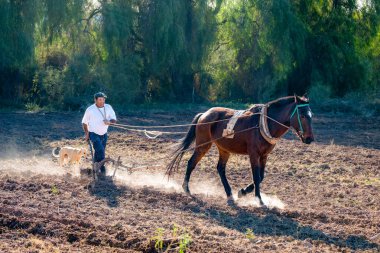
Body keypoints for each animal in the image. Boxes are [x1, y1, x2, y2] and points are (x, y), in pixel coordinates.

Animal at [166, 95, 314, 206]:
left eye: (311, 115)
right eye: (302, 116)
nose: (310, 139)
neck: (263, 123)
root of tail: (205, 114)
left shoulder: (264, 156)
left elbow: (261, 176)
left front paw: (242, 192)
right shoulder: (253, 154)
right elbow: (256, 176)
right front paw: (259, 200)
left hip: (224, 149)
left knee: (220, 168)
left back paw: (229, 195)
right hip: (203, 145)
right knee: (191, 163)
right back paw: (186, 189)